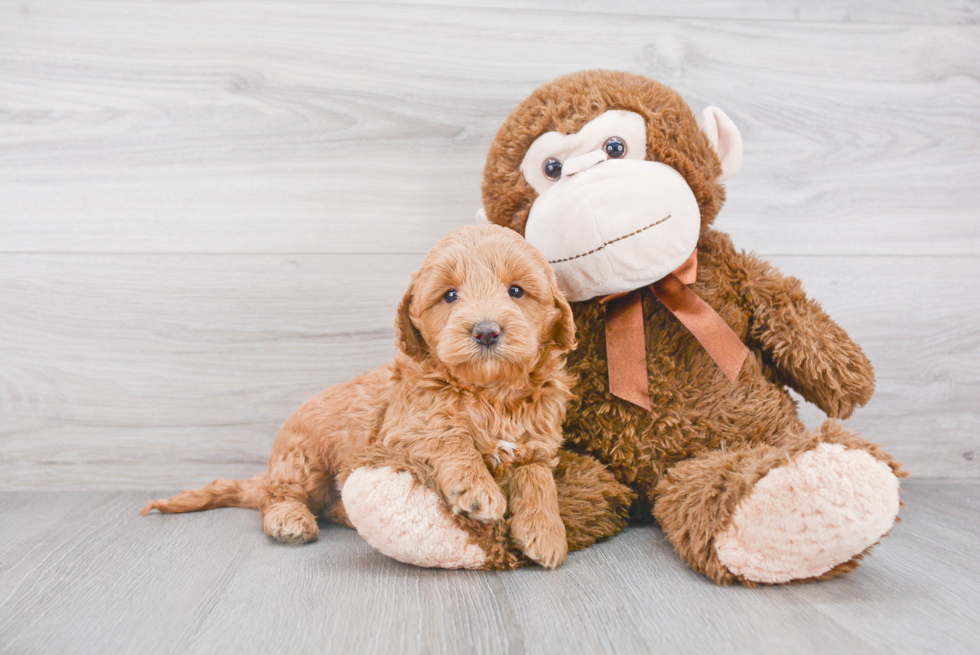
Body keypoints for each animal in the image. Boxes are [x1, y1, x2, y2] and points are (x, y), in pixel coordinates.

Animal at [142, 224, 580, 568]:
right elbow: (450, 436)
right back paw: (290, 519)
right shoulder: (403, 430)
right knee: (278, 494)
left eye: (516, 291)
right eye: (450, 296)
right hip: (304, 458)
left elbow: (538, 475)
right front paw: (477, 489)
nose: (486, 331)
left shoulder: (538, 442)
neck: (490, 392)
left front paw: (547, 531)